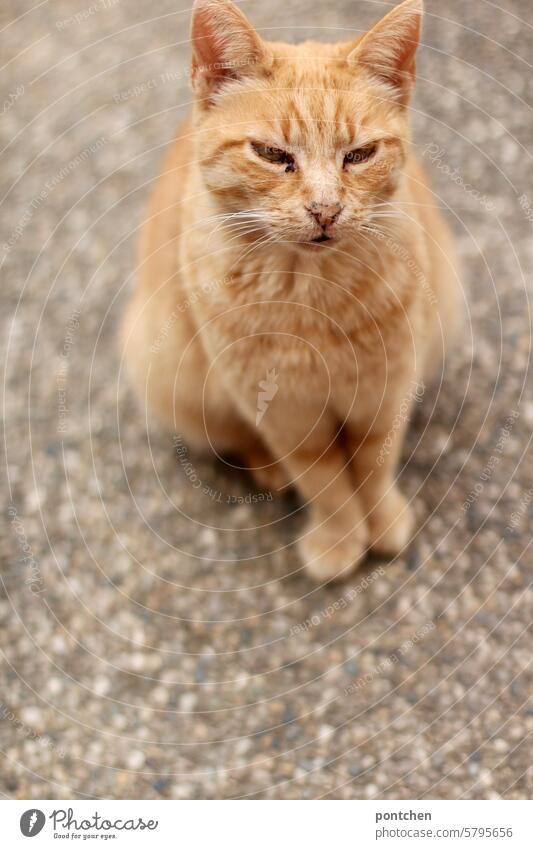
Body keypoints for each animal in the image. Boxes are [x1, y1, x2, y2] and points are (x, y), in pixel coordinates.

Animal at [119, 0, 458, 580]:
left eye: (359, 155)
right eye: (272, 154)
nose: (325, 209)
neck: (313, 297)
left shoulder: (386, 392)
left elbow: (373, 464)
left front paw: (384, 524)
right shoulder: (286, 414)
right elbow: (325, 482)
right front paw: (339, 542)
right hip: (171, 371)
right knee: (234, 439)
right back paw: (269, 470)